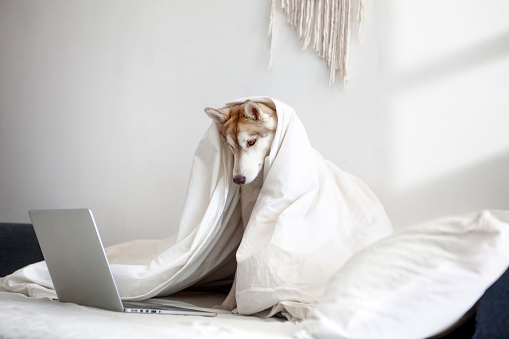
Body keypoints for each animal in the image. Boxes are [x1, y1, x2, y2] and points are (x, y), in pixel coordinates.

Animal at [203, 98, 278, 310]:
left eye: (251, 142)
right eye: (230, 146)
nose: (238, 179)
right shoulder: (248, 224)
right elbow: (240, 266)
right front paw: (227, 306)